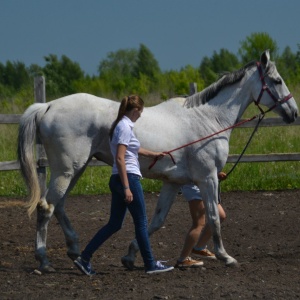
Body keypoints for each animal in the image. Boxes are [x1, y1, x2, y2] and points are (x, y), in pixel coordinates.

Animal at [17, 51, 296, 272]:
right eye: (277, 80)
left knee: (60, 206)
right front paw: (225, 256)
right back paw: (44, 261)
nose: (293, 113)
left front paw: (130, 256)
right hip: (66, 170)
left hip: (76, 169)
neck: (209, 120)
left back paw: (75, 250)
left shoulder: (173, 182)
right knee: (46, 207)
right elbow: (213, 217)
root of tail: (48, 106)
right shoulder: (208, 178)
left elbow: (156, 221)